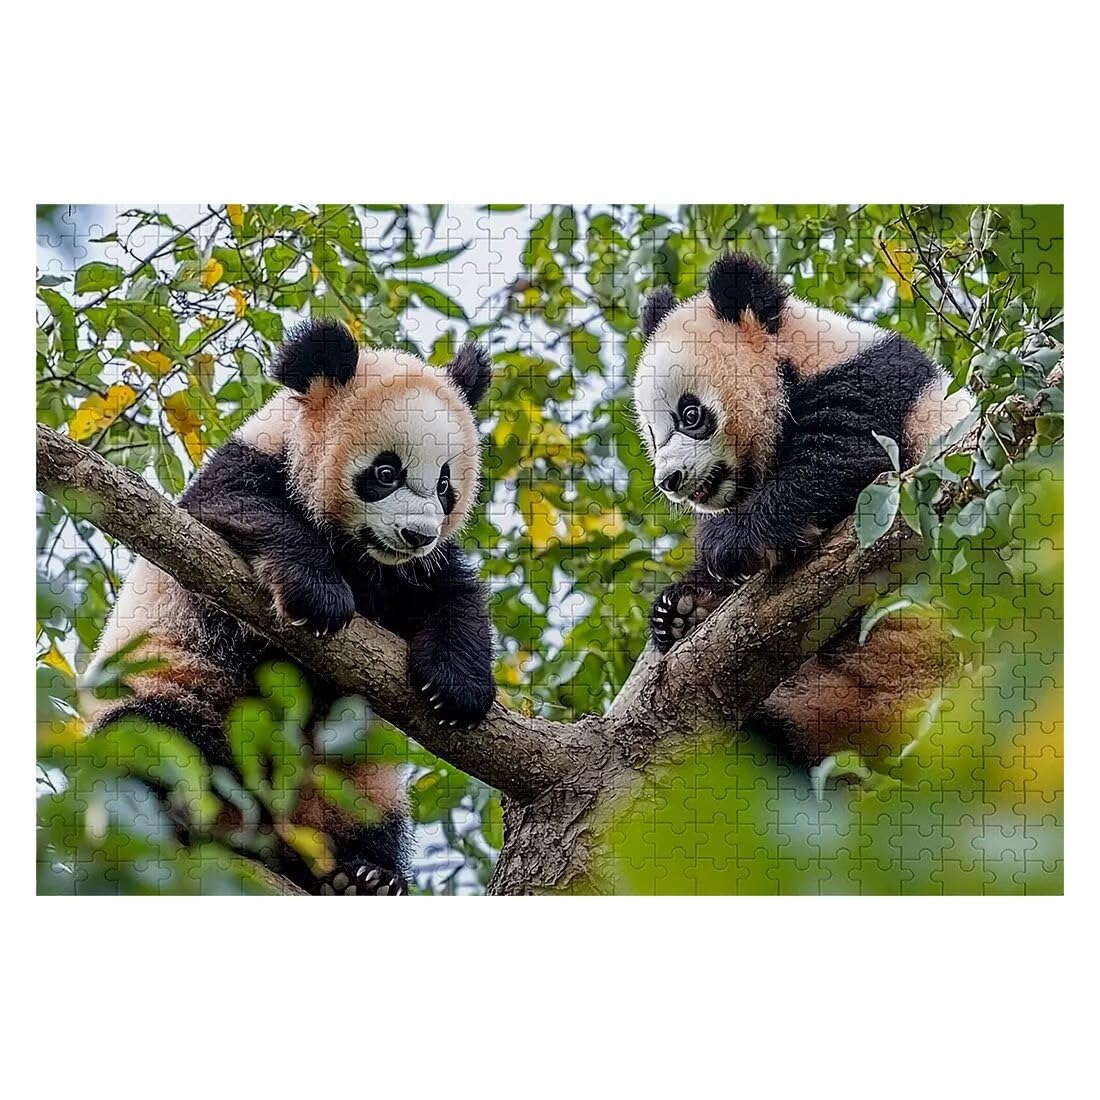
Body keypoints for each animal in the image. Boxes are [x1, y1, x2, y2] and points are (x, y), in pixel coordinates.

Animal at [83, 319, 496, 894]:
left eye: (444, 485)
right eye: (385, 472)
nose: (416, 535)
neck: (361, 554)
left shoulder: (413, 571)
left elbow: (453, 595)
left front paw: (456, 688)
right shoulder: (241, 477)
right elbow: (242, 511)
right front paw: (321, 598)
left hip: (353, 781)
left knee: (375, 819)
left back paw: (364, 875)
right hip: (185, 692)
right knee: (152, 736)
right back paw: (172, 817)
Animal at [633, 253, 974, 766]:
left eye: (690, 415)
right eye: (654, 436)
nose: (669, 482)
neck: (796, 354)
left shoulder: (874, 385)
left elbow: (838, 462)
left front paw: (726, 544)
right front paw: (680, 606)